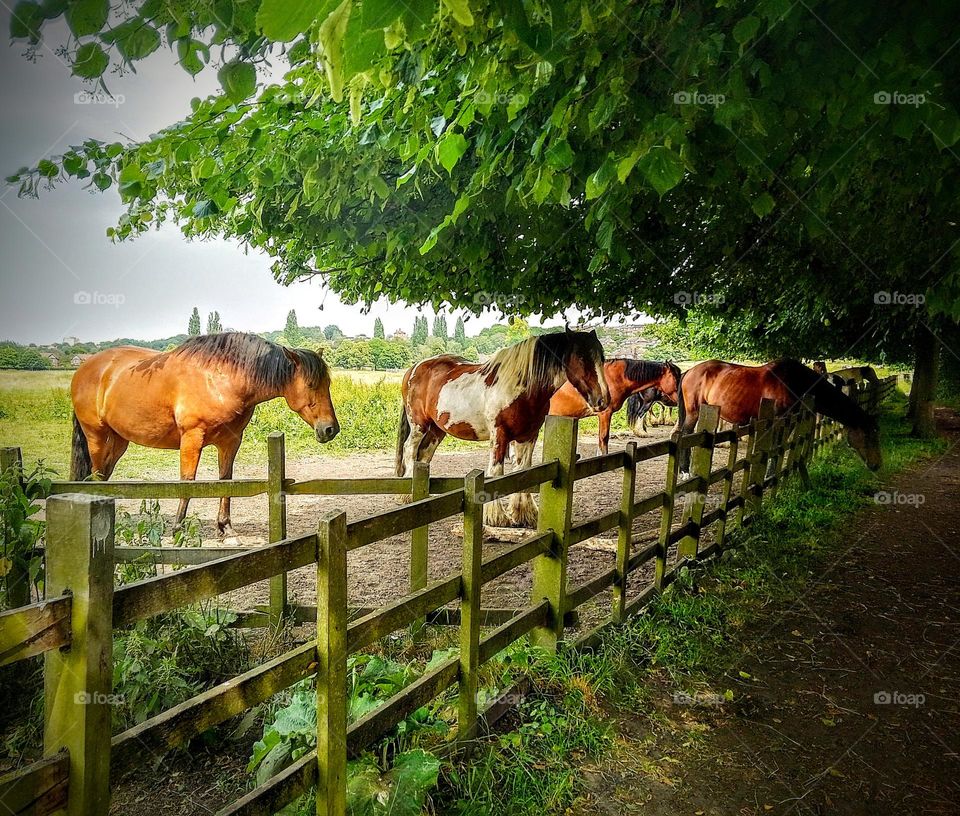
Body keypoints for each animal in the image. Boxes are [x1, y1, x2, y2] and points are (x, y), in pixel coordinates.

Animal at [70, 333, 339, 537]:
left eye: (328, 384)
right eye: (311, 385)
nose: (330, 429)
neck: (221, 378)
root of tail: (84, 368)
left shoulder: (230, 441)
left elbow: (225, 479)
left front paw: (225, 527)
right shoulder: (192, 438)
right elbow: (188, 480)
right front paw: (178, 527)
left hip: (118, 441)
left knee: (105, 475)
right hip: (96, 436)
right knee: (96, 474)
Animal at [395, 328, 609, 527]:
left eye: (602, 357)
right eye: (581, 357)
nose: (603, 400)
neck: (522, 388)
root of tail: (414, 368)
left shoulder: (528, 436)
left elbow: (524, 470)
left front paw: (524, 514)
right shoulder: (500, 435)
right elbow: (496, 472)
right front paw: (496, 516)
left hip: (437, 429)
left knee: (423, 455)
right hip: (419, 425)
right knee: (410, 450)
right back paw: (407, 496)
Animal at [675, 358, 881, 474]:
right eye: (868, 436)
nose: (876, 465)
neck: (796, 382)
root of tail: (690, 371)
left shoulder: (788, 422)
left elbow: (779, 448)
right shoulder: (778, 421)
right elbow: (774, 448)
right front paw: (768, 476)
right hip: (694, 412)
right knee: (685, 435)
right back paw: (685, 472)